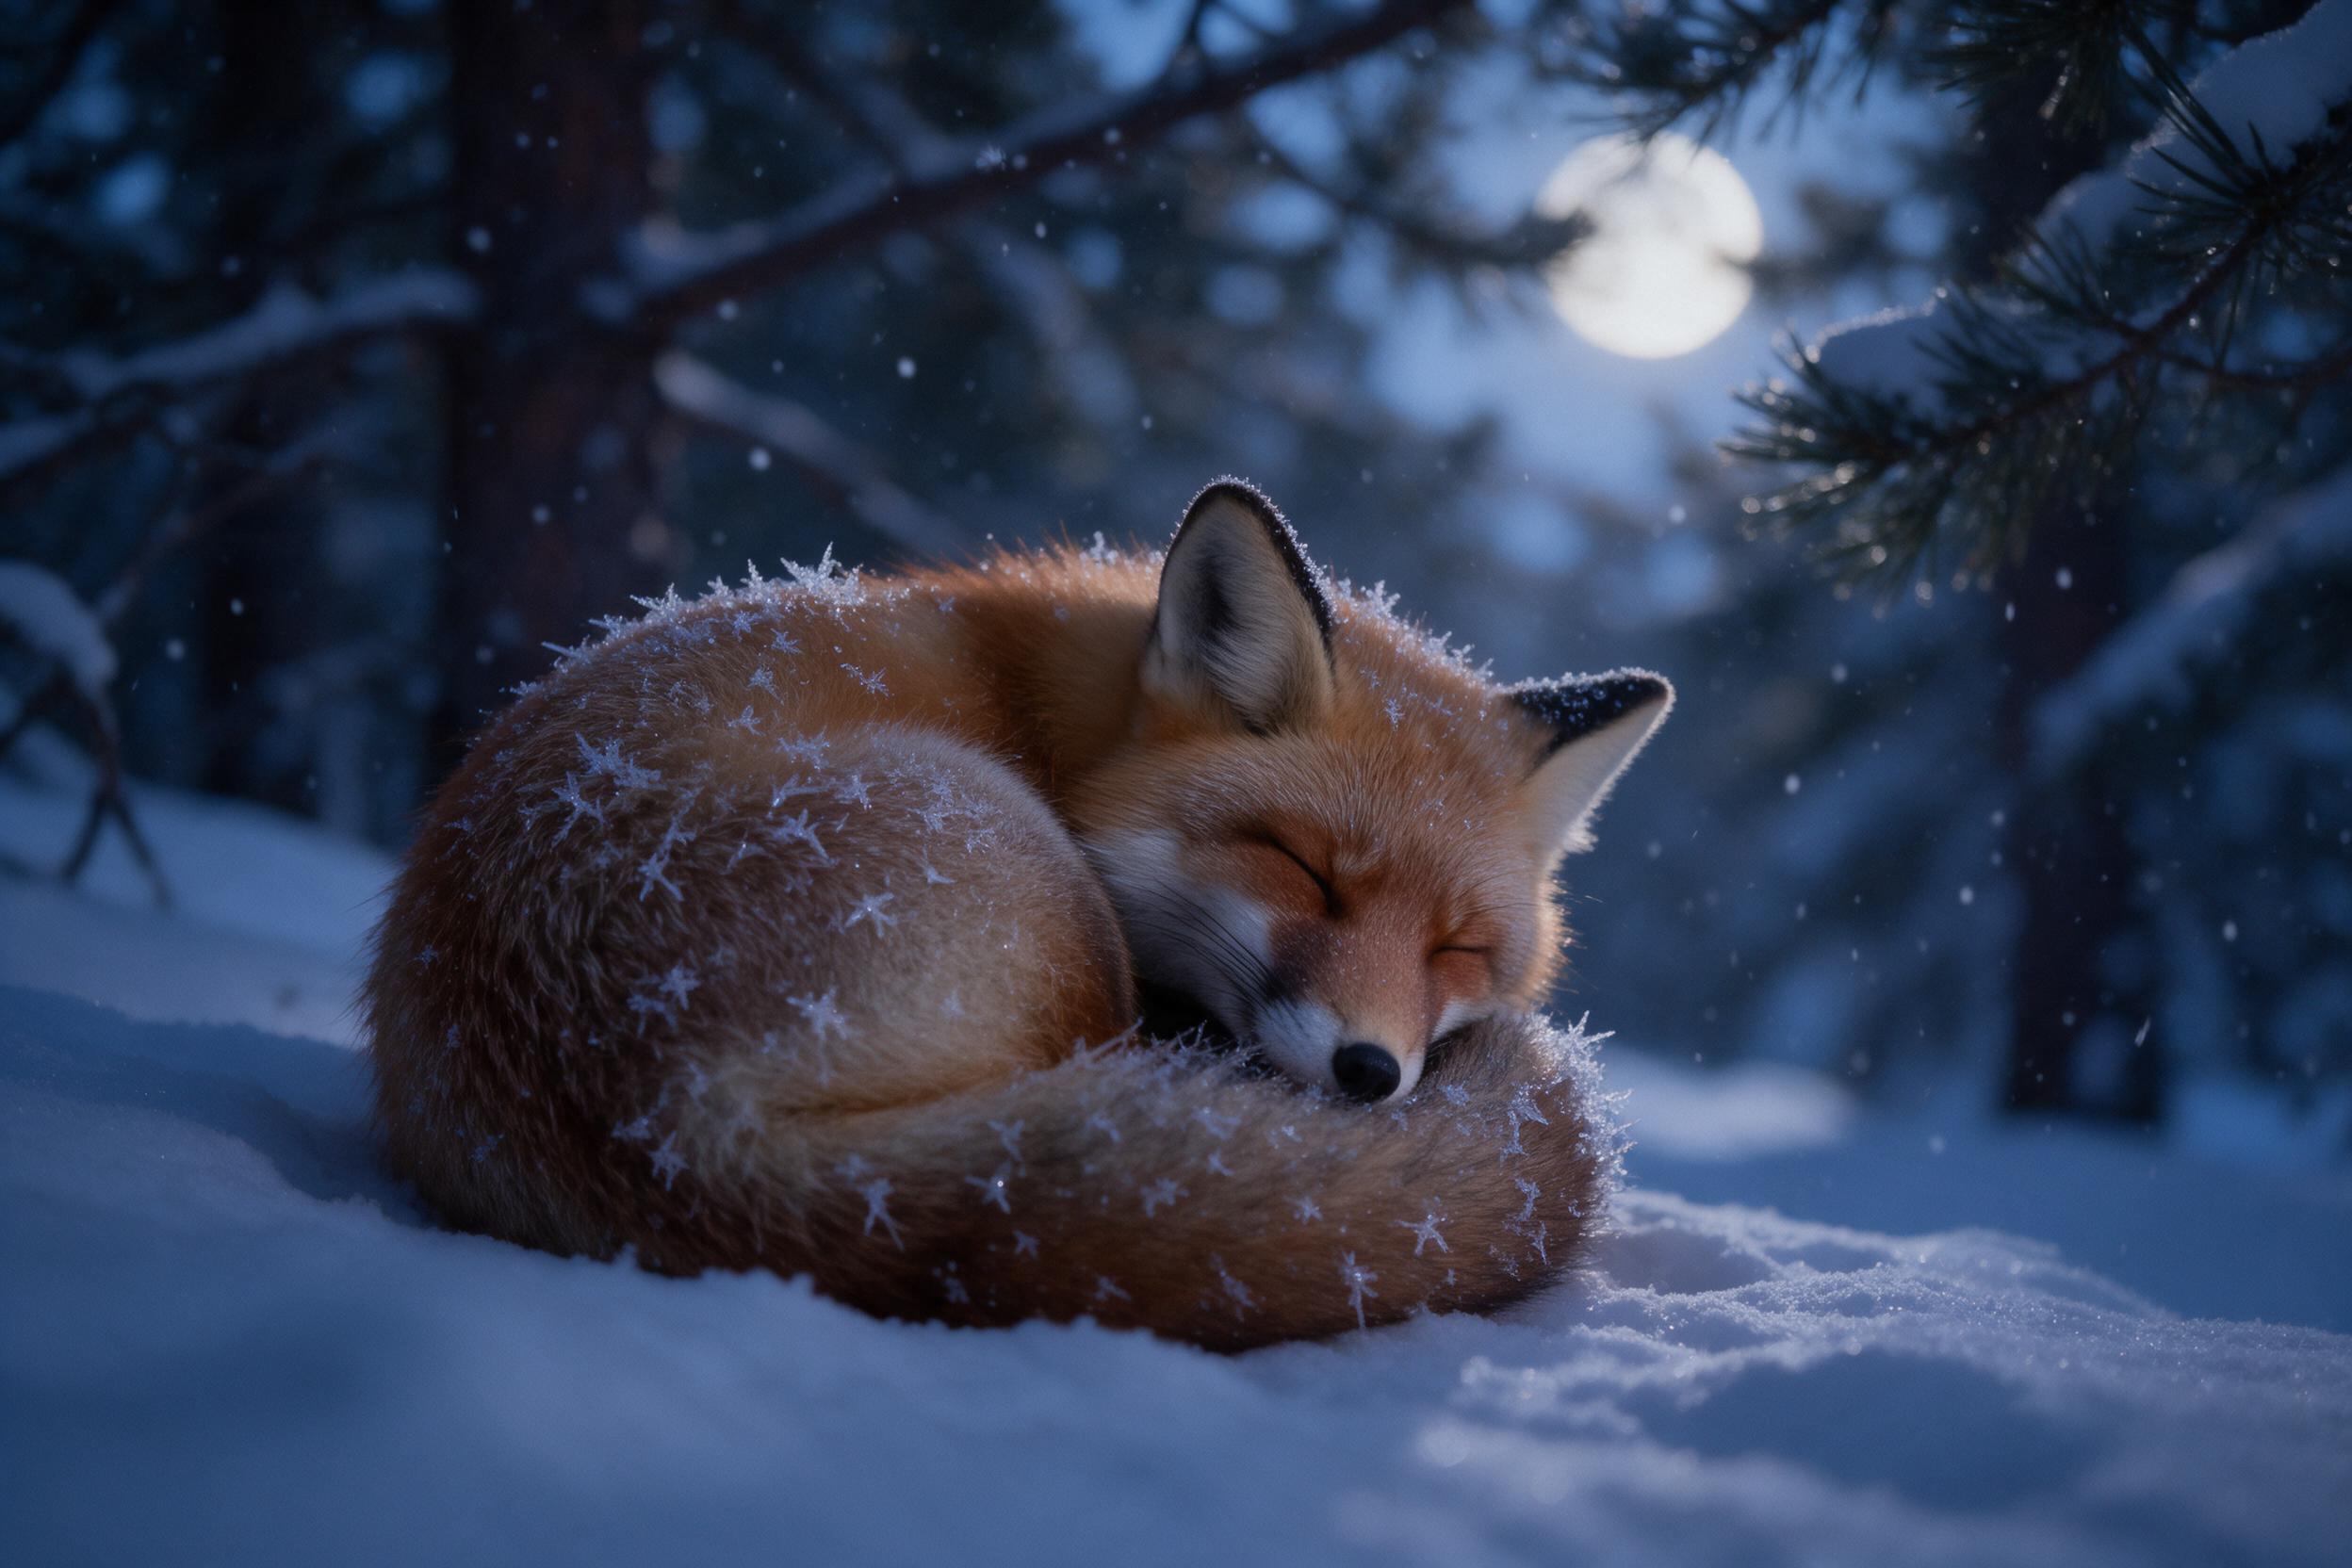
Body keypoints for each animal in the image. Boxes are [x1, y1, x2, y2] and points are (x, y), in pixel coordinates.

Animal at [364, 479, 1672, 1350]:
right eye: (1304, 869)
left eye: (1458, 948)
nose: (1369, 1074)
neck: (1042, 710)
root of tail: (673, 1134)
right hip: (1050, 898)